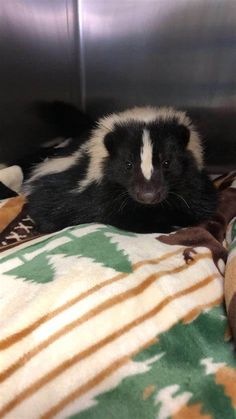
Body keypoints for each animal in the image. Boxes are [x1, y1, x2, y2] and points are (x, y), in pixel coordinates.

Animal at [24, 106, 218, 235]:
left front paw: (174, 220)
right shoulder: (101, 194)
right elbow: (115, 215)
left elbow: (200, 205)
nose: (148, 195)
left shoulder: (192, 183)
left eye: (166, 162)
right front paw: (161, 224)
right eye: (128, 164)